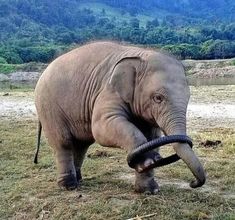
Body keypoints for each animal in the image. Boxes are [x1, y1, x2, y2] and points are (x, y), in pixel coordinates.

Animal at [34, 41, 205, 194]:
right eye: (158, 98)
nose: (192, 183)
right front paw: (148, 161)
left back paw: (79, 179)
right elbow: (102, 128)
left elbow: (152, 137)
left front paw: (150, 190)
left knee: (81, 145)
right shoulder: (108, 90)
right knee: (64, 143)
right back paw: (69, 186)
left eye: (189, 97)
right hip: (48, 107)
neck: (140, 55)